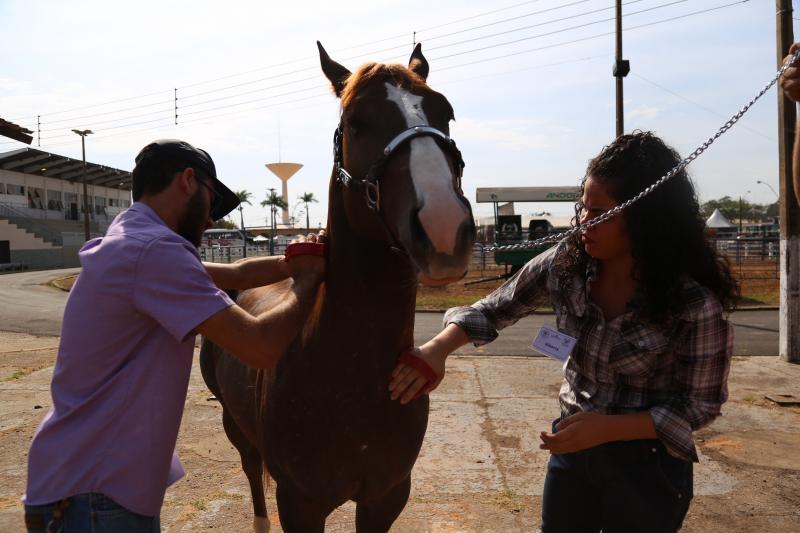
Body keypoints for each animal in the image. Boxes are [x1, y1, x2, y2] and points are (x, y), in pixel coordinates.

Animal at [200, 42, 476, 532]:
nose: (444, 225)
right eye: (356, 121)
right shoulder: (301, 503)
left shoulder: (386, 496)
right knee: (251, 469)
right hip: (235, 425)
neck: (352, 375)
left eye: (445, 112)